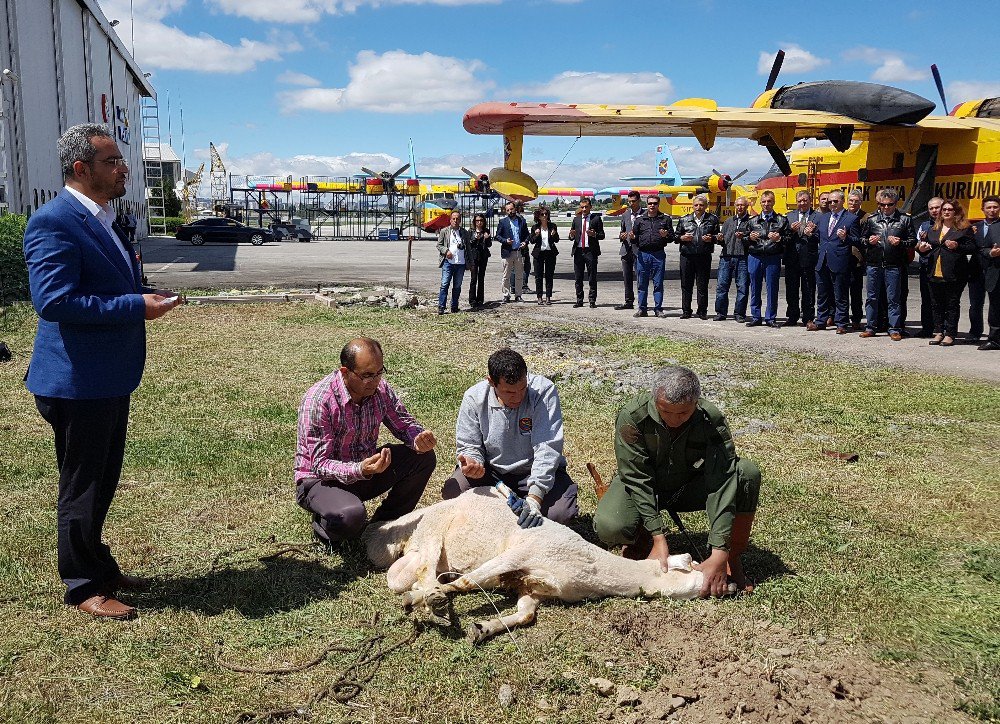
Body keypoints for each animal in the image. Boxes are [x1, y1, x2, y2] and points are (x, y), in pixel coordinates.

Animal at [366, 486, 704, 644]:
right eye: (694, 572)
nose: (713, 587)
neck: (588, 565)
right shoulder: (520, 553)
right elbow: (467, 581)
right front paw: (438, 602)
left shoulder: (534, 588)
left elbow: (526, 614)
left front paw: (483, 629)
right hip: (435, 529)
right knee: (426, 572)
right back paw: (431, 602)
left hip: (417, 551)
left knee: (405, 576)